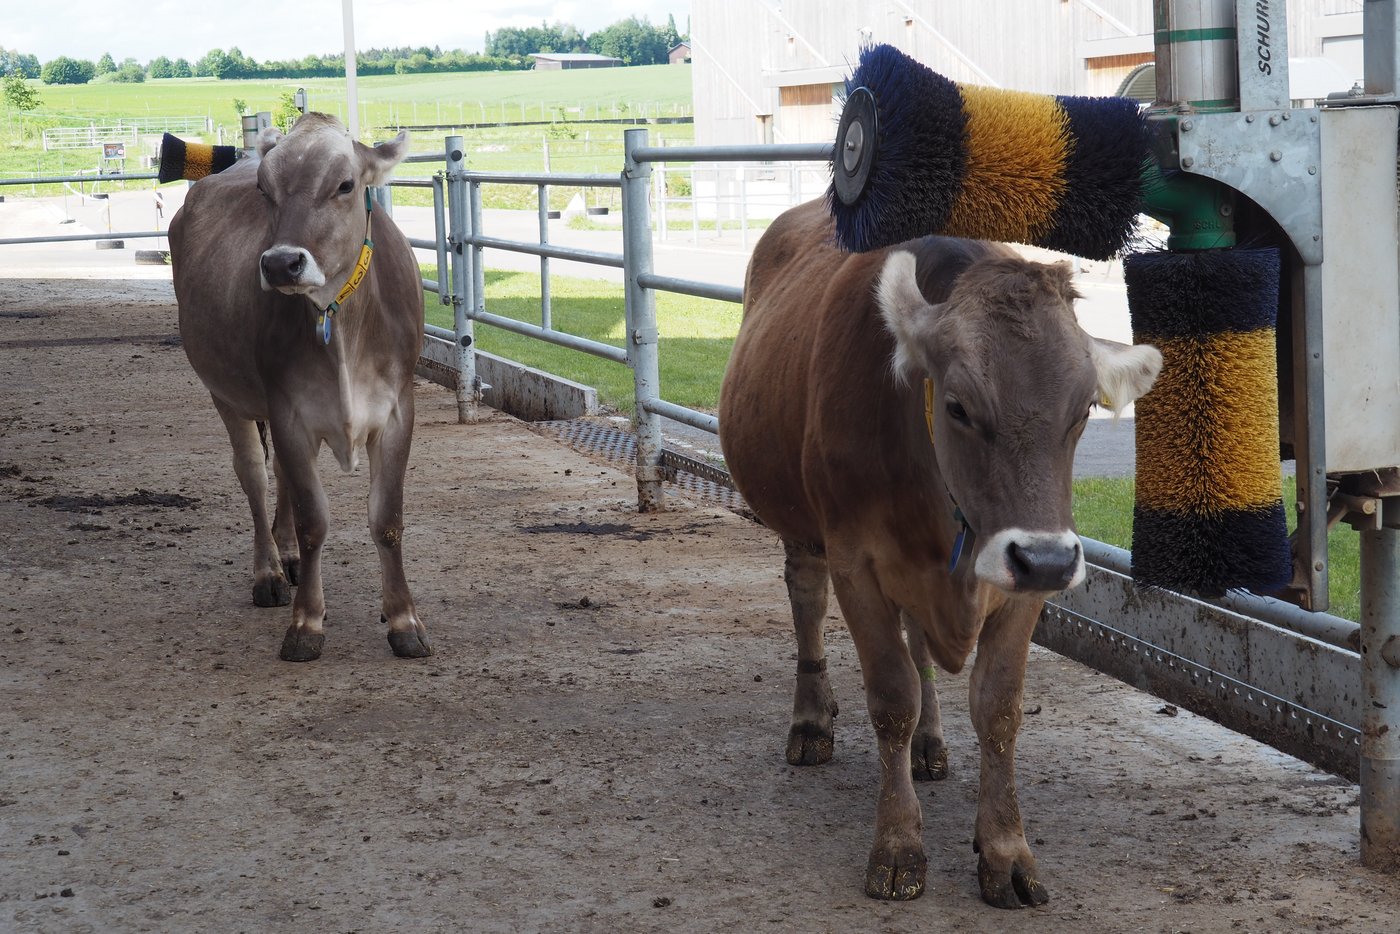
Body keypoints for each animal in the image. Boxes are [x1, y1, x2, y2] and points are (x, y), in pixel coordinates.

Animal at [169, 112, 430, 662]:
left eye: (346, 185)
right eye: (266, 190)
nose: (280, 263)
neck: (339, 317)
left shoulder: (397, 410)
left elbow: (387, 519)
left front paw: (403, 620)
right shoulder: (288, 410)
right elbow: (315, 523)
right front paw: (306, 623)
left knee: (284, 480)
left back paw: (285, 555)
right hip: (227, 394)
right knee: (254, 475)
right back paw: (269, 571)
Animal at [718, 200, 1161, 907]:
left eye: (1082, 412)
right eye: (957, 406)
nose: (1048, 560)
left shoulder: (1018, 584)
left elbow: (998, 706)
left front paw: (1005, 848)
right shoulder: (857, 563)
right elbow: (890, 696)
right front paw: (898, 843)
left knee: (918, 641)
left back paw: (930, 742)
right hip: (801, 527)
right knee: (807, 602)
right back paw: (811, 721)